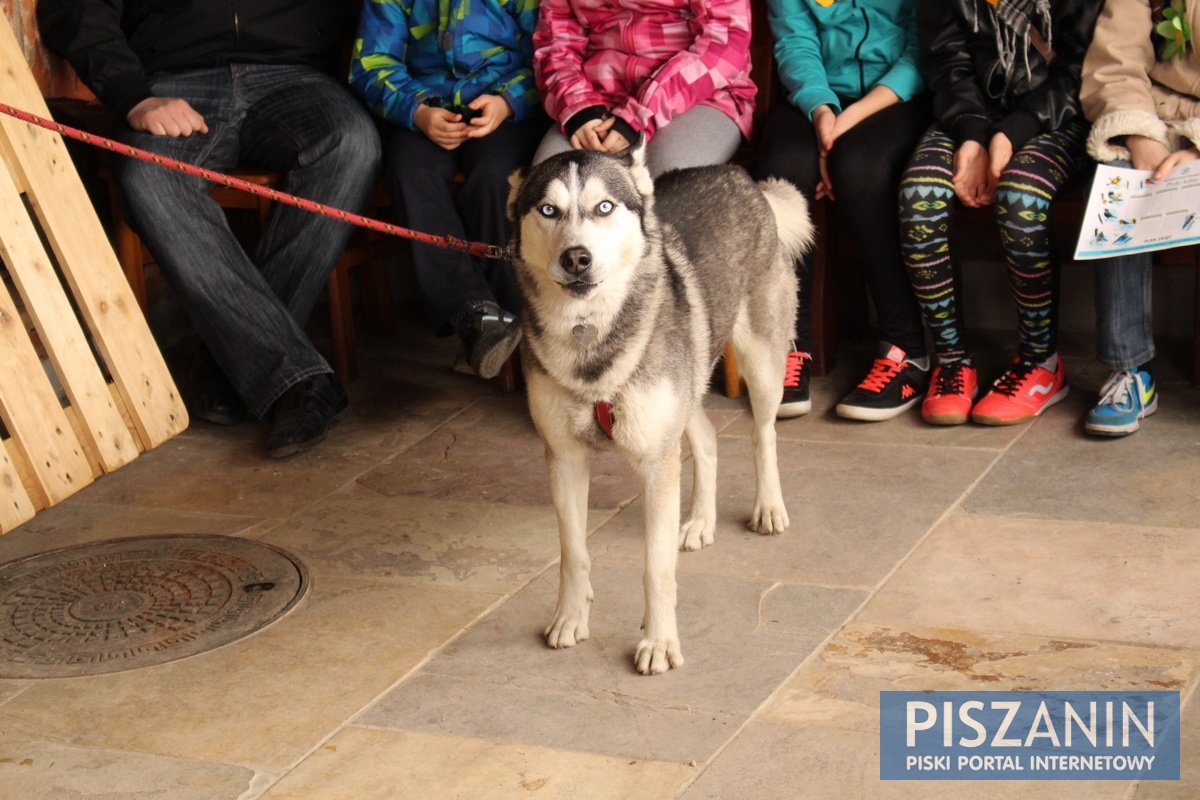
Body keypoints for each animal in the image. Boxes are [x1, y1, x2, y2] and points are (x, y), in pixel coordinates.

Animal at [501, 143, 811, 676]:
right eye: (548, 210)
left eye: (605, 207)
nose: (576, 257)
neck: (591, 332)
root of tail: (737, 174)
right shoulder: (564, 457)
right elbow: (572, 552)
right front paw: (570, 618)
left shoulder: (655, 463)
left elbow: (656, 566)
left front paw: (660, 643)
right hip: (683, 392)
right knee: (706, 438)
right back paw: (701, 521)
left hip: (761, 360)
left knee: (763, 434)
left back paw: (768, 507)